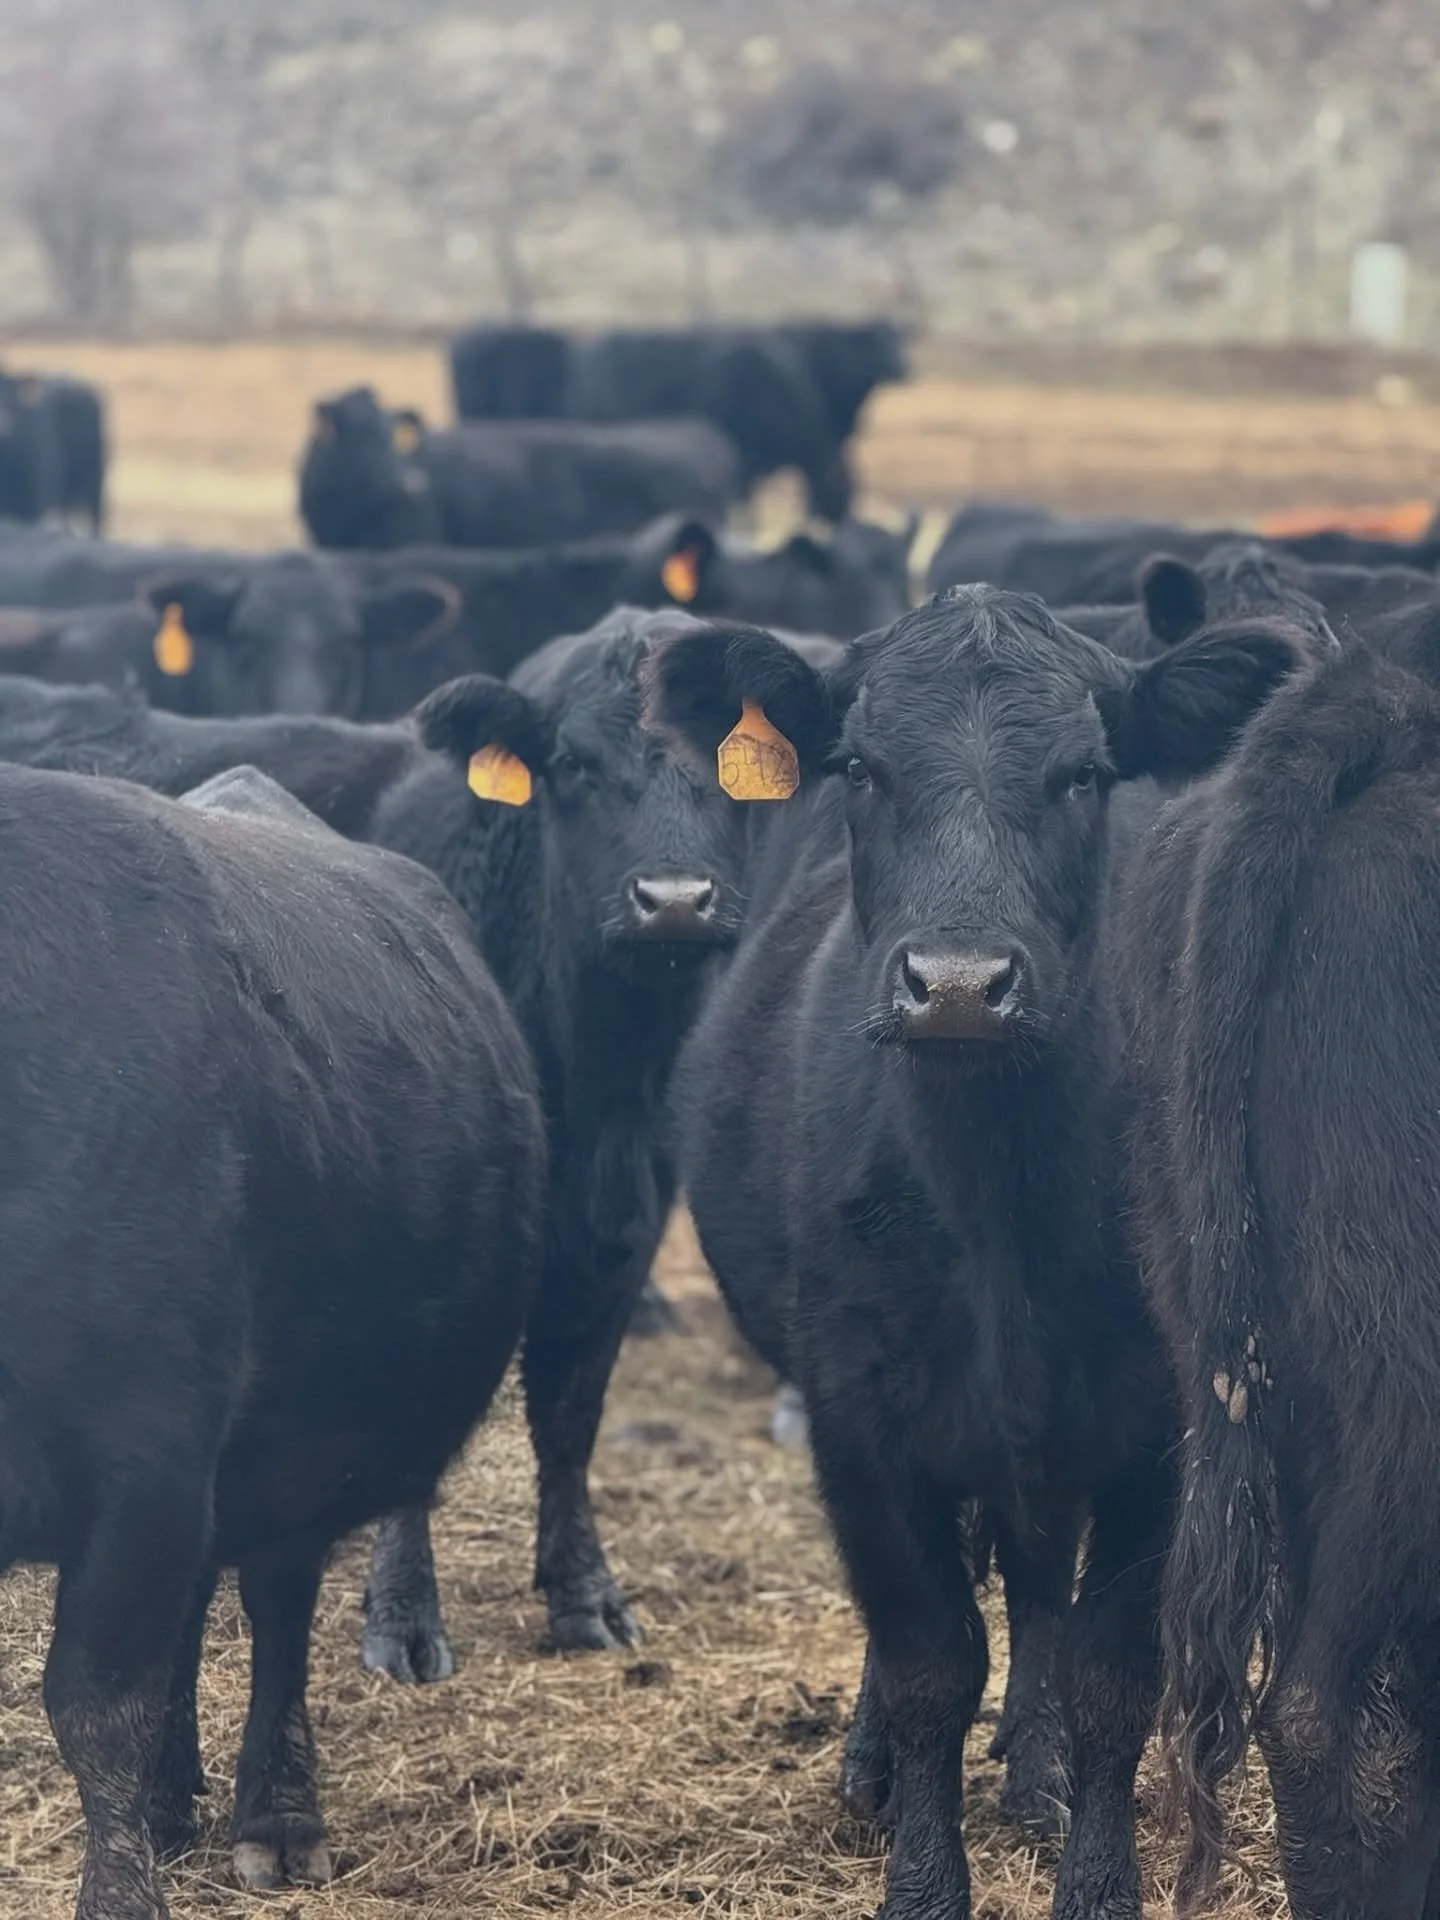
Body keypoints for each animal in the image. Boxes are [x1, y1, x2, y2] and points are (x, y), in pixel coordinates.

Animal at [0, 759, 544, 1919]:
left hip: (300, 1447)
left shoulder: (147, 1454)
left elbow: (95, 1703)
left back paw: (277, 1817)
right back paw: (174, 1799)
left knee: (275, 1607)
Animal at [648, 589, 1310, 1919]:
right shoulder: (861, 1423)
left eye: (1084, 774)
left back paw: (1035, 1767)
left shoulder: (1153, 1428)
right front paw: (920, 1876)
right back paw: (876, 1769)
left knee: (1040, 1589)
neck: (995, 1199)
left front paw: (1095, 1876)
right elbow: (925, 1665)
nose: (957, 985)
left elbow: (1111, 1675)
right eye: (860, 766)